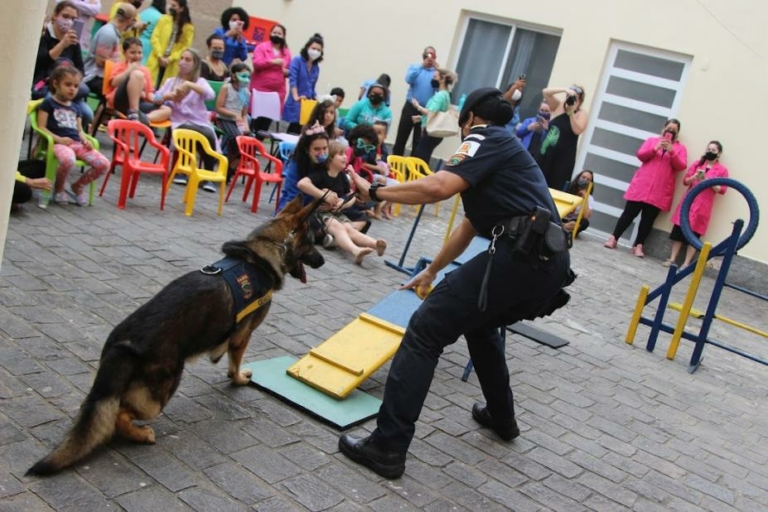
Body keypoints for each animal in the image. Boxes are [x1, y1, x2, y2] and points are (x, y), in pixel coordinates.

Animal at [27, 197, 324, 476]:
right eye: (312, 242)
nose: (322, 261)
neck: (266, 247)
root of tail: (122, 343)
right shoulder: (244, 335)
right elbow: (235, 362)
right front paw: (238, 379)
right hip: (162, 390)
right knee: (120, 416)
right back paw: (141, 435)